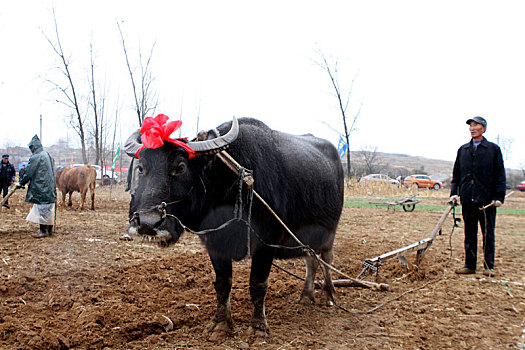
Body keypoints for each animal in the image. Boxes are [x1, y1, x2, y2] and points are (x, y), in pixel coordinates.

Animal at [128, 117, 344, 340]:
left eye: (180, 167)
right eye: (141, 168)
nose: (147, 223)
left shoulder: (266, 244)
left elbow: (258, 284)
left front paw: (258, 327)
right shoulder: (215, 243)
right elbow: (223, 284)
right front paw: (220, 324)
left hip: (329, 233)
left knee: (326, 260)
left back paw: (328, 295)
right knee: (311, 260)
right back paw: (306, 296)